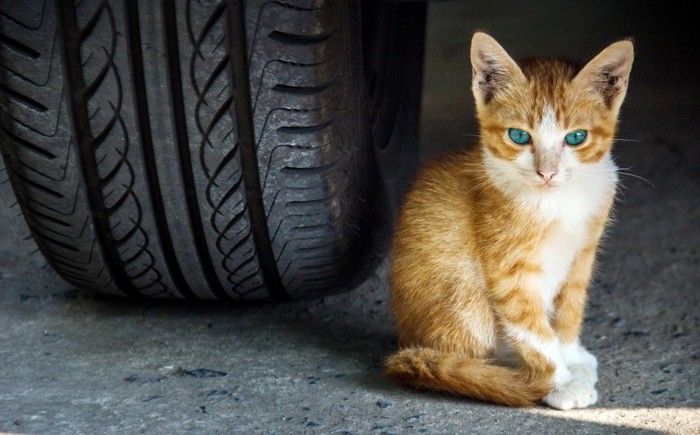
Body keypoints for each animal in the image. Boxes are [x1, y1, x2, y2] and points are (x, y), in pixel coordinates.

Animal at [382, 32, 636, 410]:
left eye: (576, 137)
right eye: (519, 136)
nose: (547, 172)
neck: (559, 201)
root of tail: (406, 342)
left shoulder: (582, 253)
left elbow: (570, 309)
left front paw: (571, 356)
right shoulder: (510, 269)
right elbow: (531, 328)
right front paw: (559, 381)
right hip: (465, 298)